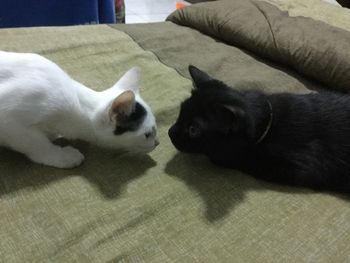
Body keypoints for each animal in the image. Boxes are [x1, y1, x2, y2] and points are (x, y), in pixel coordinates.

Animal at [0, 50, 159, 168]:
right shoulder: (9, 119)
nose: (157, 143)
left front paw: (50, 135)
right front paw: (62, 156)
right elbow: (36, 144)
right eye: (147, 134)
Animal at [168, 66, 350, 194]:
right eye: (181, 110)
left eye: (193, 129)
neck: (270, 122)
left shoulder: (301, 167)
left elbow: (244, 160)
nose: (169, 132)